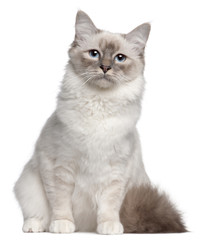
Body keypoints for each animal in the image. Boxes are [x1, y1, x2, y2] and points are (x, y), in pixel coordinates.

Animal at [13, 10, 187, 233]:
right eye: (94, 54)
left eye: (120, 58)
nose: (105, 67)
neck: (99, 103)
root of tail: (84, 227)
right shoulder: (60, 165)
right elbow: (60, 201)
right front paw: (62, 225)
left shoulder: (117, 171)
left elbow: (109, 205)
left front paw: (109, 226)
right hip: (27, 184)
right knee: (36, 212)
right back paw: (35, 226)